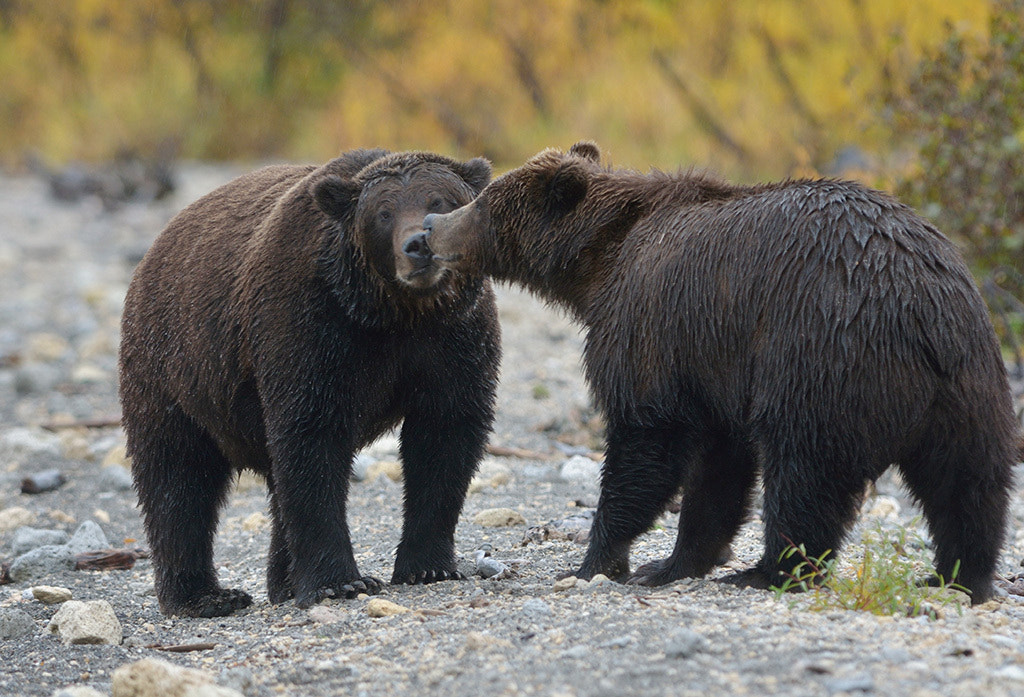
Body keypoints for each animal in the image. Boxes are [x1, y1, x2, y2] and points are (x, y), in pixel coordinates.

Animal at [119, 146, 499, 614]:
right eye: (384, 213)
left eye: (439, 201)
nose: (418, 246)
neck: (396, 313)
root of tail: (156, 247)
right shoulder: (312, 327)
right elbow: (312, 440)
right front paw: (342, 582)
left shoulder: (452, 339)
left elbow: (445, 438)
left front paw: (427, 566)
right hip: (176, 371)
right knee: (178, 477)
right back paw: (204, 595)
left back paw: (282, 583)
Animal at [415, 138, 1015, 601]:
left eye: (484, 204)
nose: (428, 226)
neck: (598, 264)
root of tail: (916, 307)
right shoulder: (711, 367)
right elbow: (718, 468)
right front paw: (672, 562)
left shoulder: (652, 325)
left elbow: (646, 441)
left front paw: (599, 560)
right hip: (969, 382)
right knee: (968, 482)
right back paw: (958, 576)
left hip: (821, 354)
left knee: (806, 470)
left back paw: (769, 570)